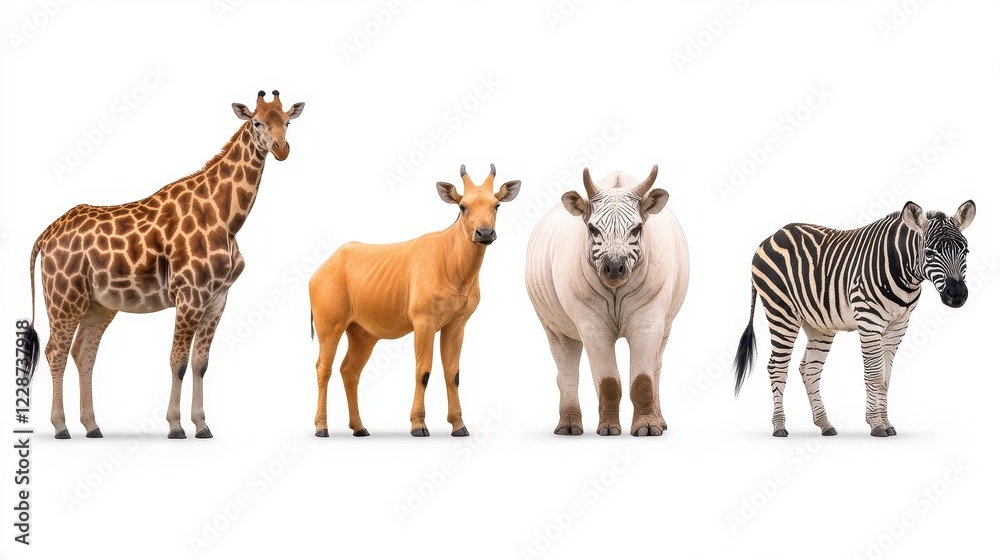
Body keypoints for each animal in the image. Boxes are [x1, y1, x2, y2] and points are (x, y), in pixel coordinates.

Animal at [732, 200, 976, 437]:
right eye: (929, 253)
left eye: (965, 251)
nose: (957, 295)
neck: (902, 270)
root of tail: (772, 235)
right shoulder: (869, 322)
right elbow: (875, 374)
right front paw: (876, 425)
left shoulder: (898, 326)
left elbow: (886, 376)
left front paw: (887, 423)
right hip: (781, 312)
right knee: (777, 367)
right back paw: (779, 427)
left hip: (818, 323)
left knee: (809, 370)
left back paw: (825, 424)